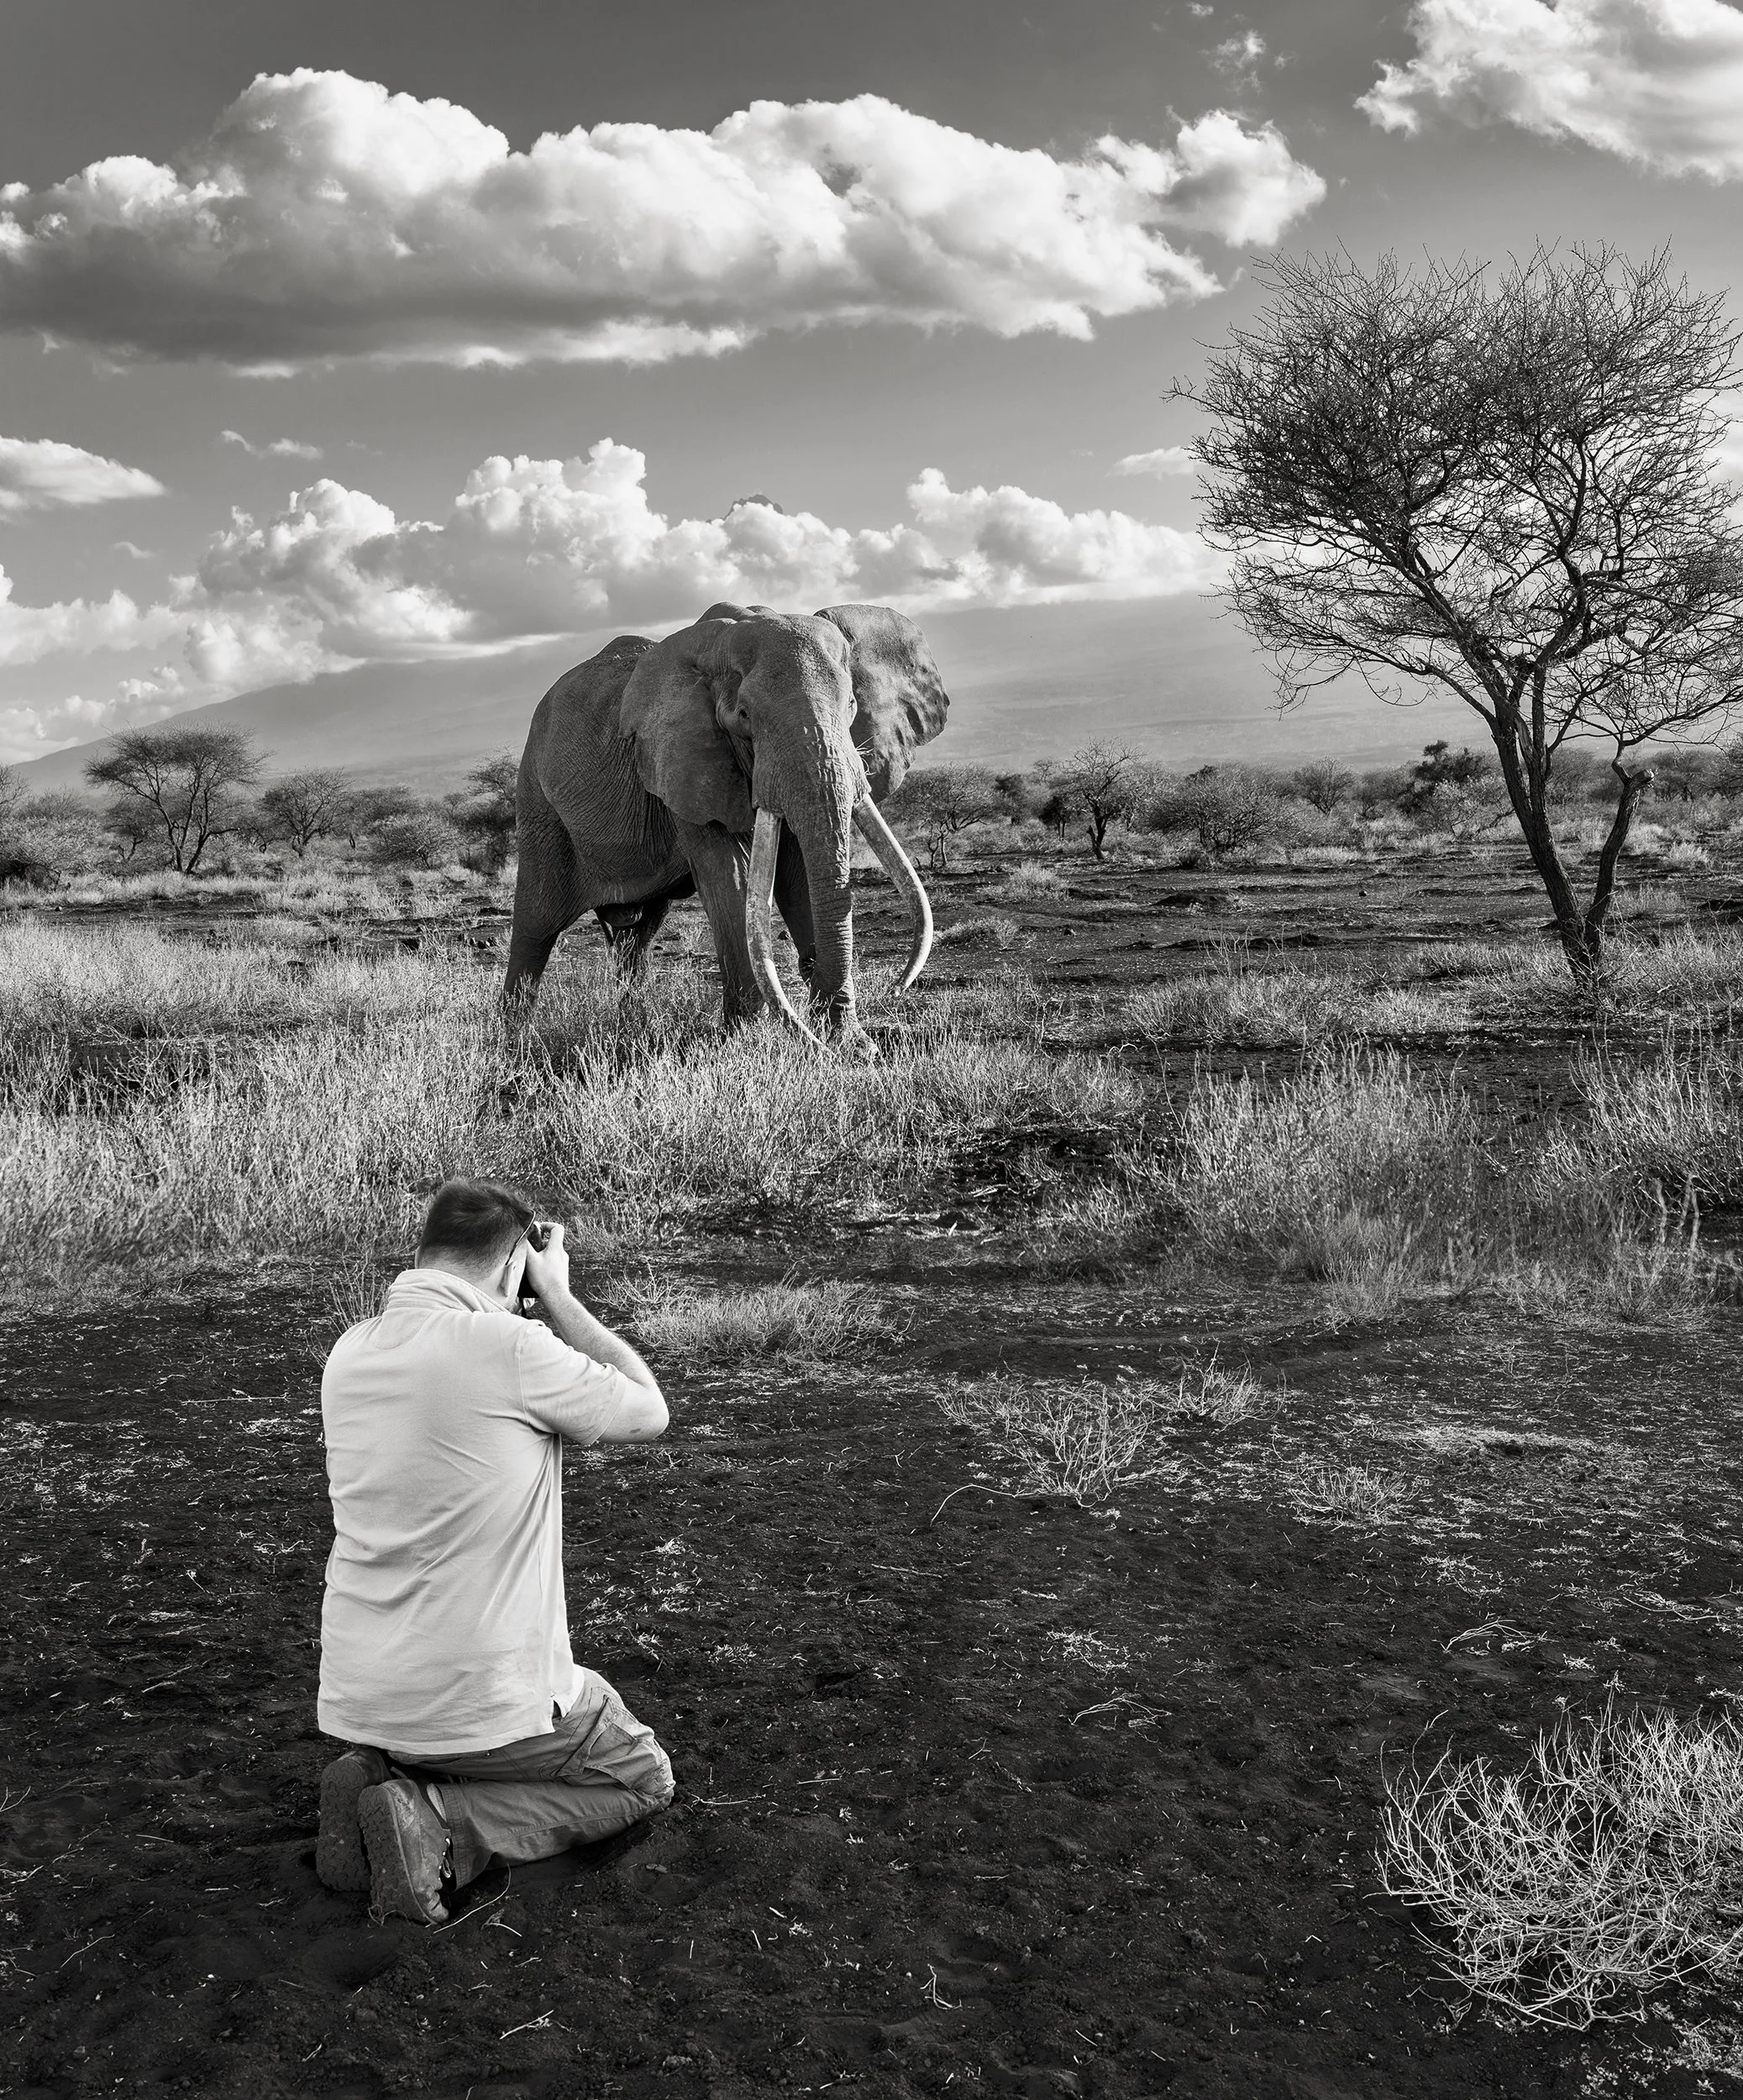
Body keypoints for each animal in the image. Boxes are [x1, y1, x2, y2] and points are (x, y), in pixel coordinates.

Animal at [502, 601, 948, 1043]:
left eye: (852, 705)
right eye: (745, 716)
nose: (896, 989)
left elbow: (798, 870)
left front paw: (844, 1039)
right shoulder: (685, 761)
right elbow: (729, 875)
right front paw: (747, 1037)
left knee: (637, 935)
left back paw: (631, 1027)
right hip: (539, 802)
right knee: (535, 927)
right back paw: (514, 1041)